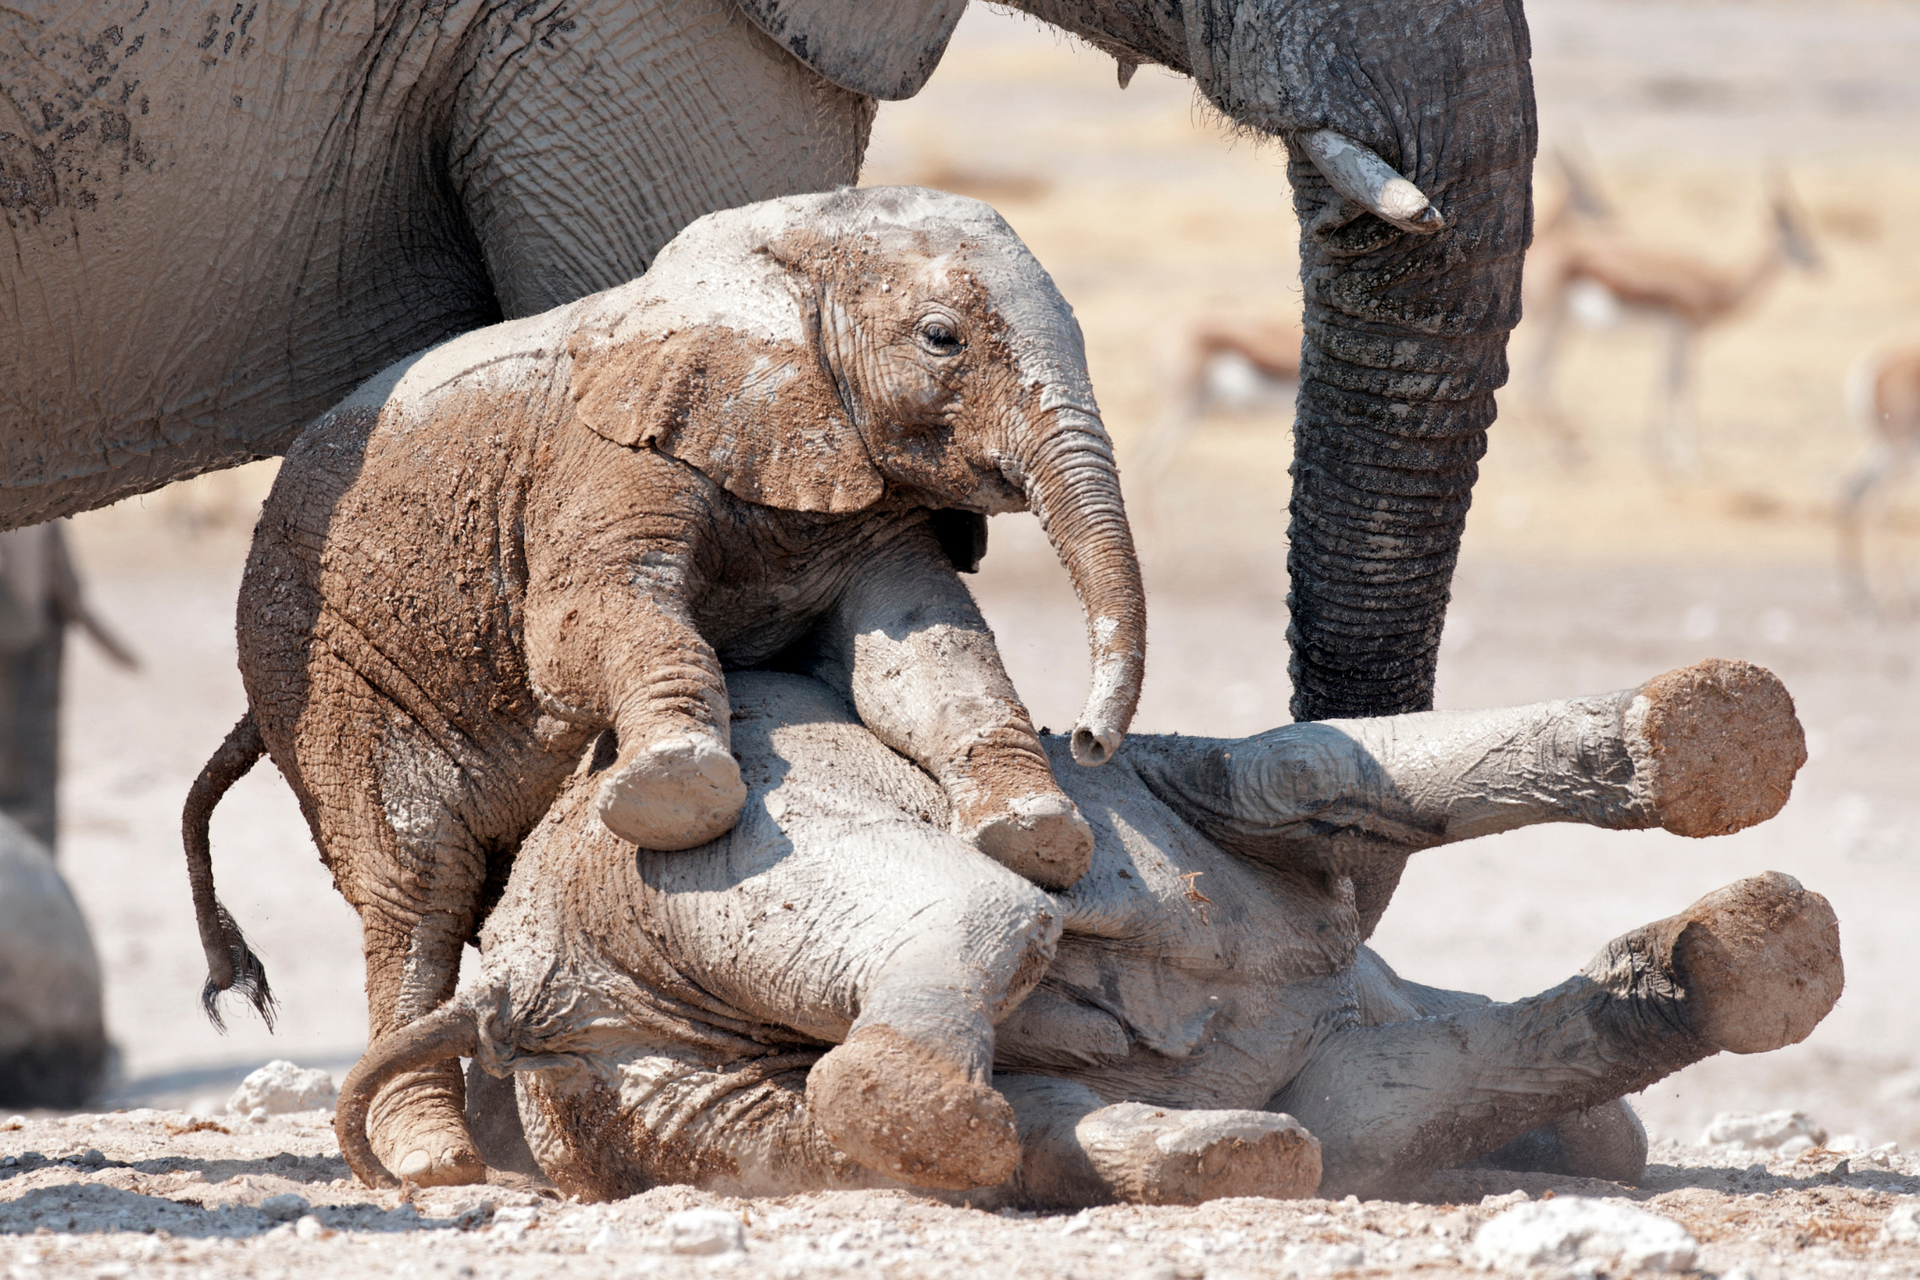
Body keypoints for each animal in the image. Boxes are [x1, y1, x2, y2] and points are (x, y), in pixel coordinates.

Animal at [182, 186, 1146, 1186]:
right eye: (941, 338)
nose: (1088, 739)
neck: (776, 259)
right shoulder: (613, 457)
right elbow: (589, 617)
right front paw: (677, 793)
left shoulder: (858, 484)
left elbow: (918, 651)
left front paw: (1034, 835)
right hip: (323, 662)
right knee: (417, 886)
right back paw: (436, 1163)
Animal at [331, 657, 1841, 1204]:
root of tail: (517, 984)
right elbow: (1308, 763)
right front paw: (1715, 738)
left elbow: (1384, 1097)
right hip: (710, 840)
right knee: (977, 932)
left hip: (659, 1097)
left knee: (941, 1125)